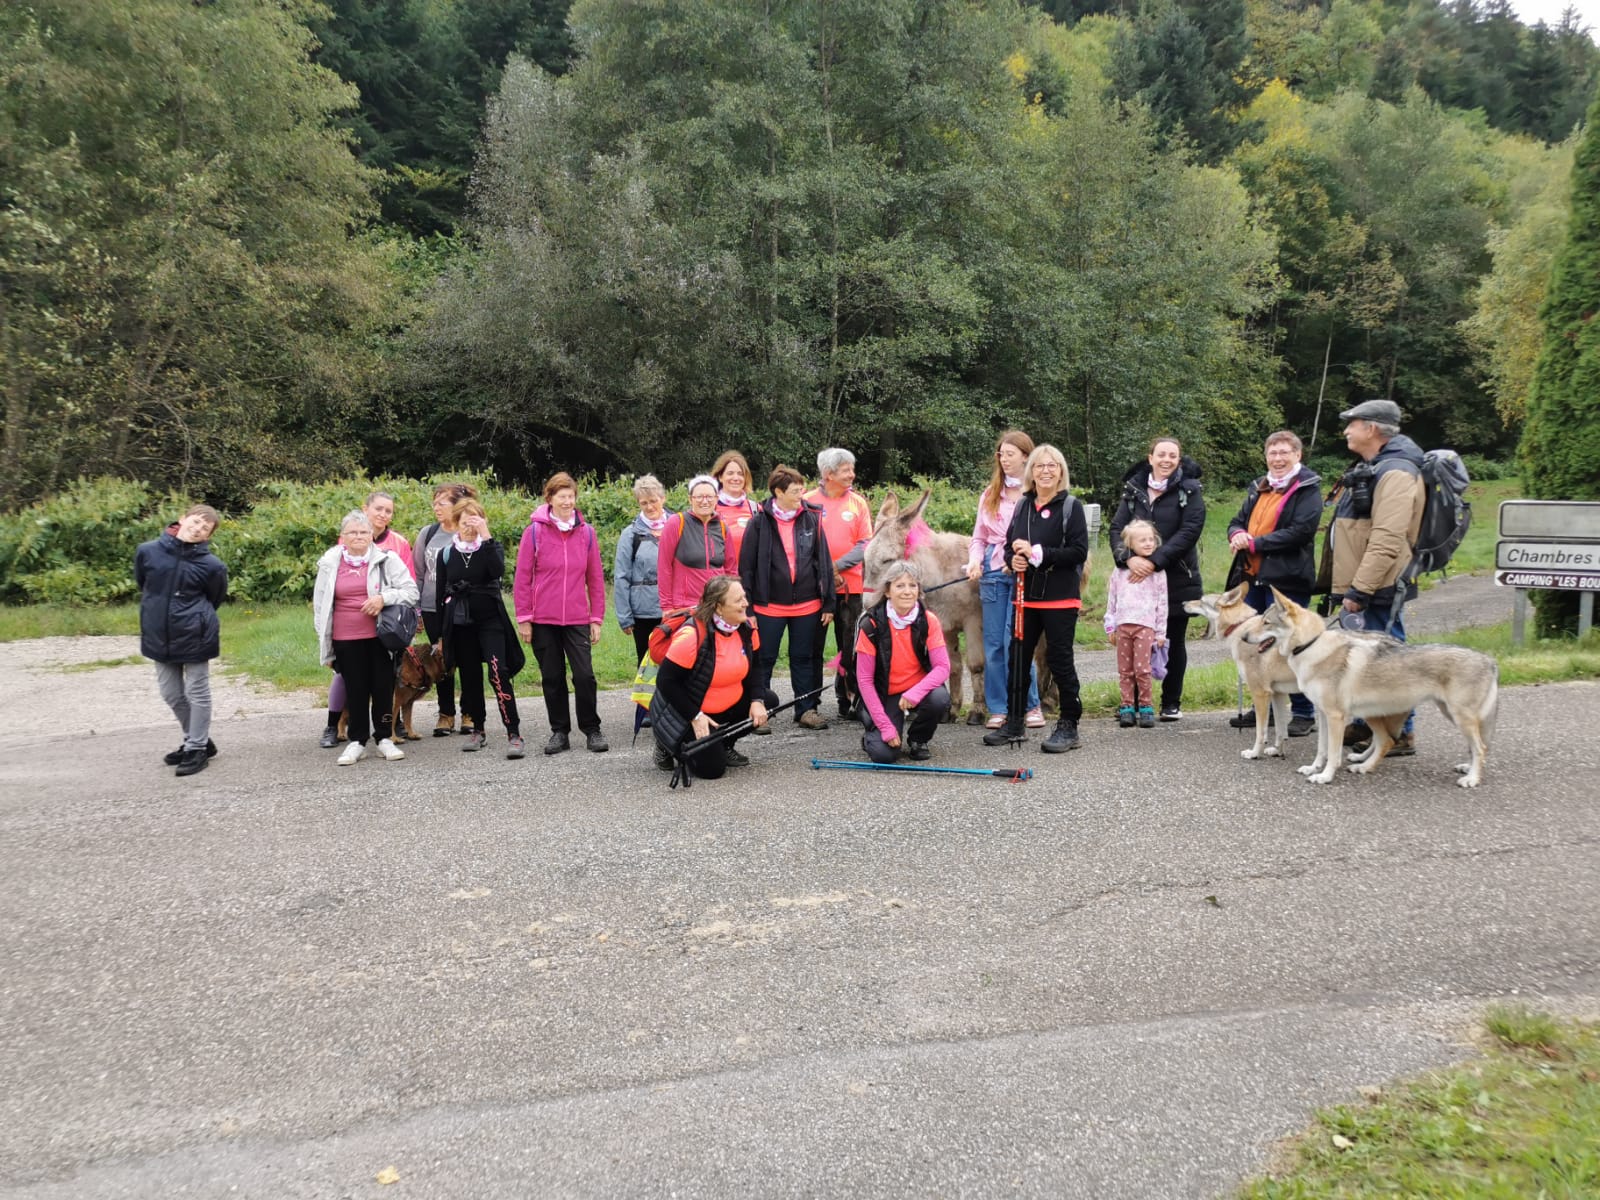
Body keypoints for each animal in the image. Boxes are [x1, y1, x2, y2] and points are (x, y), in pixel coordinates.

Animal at [861, 491, 986, 723]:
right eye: (864, 559)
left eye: (888, 560)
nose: (867, 604)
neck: (943, 574)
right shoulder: (945, 626)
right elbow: (953, 666)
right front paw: (952, 709)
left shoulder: (973, 622)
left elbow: (975, 665)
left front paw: (978, 712)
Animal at [1184, 585, 1302, 761]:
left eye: (1201, 601)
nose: (1183, 603)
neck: (1240, 627)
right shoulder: (1277, 694)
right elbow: (1281, 731)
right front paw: (1277, 751)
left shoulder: (1260, 693)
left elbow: (1261, 732)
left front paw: (1254, 753)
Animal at [1250, 589, 1498, 788]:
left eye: (1266, 622)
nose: (1244, 637)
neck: (1311, 646)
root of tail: (1490, 660)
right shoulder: (1323, 713)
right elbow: (1322, 749)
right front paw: (1313, 768)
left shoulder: (1335, 717)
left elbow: (1333, 753)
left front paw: (1325, 777)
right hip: (1433, 714)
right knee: (1388, 741)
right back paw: (1365, 766)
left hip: (1458, 717)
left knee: (1480, 747)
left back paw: (1472, 778)